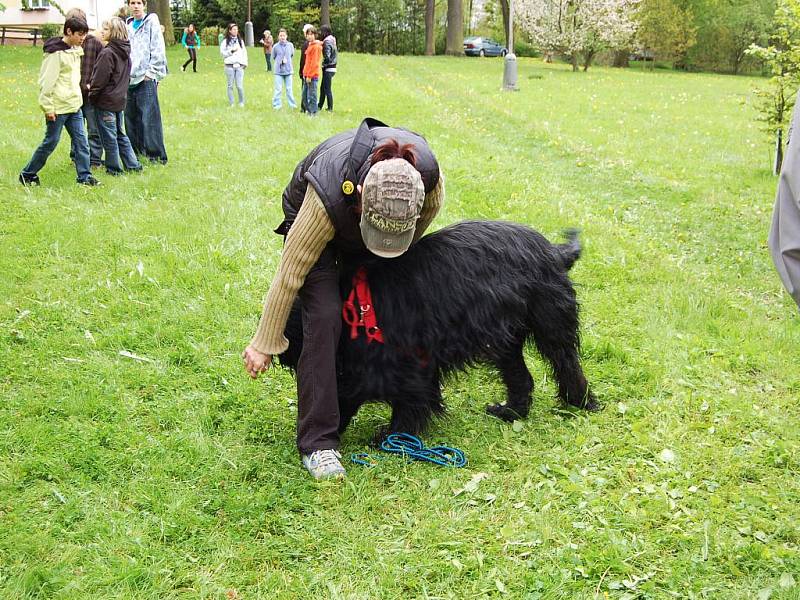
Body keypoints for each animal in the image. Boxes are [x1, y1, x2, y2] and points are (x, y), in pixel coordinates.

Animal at [278, 220, 596, 440]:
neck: (356, 308)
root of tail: (554, 251)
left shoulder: (405, 358)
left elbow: (408, 398)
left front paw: (394, 434)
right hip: (506, 337)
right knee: (521, 377)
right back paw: (511, 412)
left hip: (550, 321)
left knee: (566, 362)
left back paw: (581, 402)